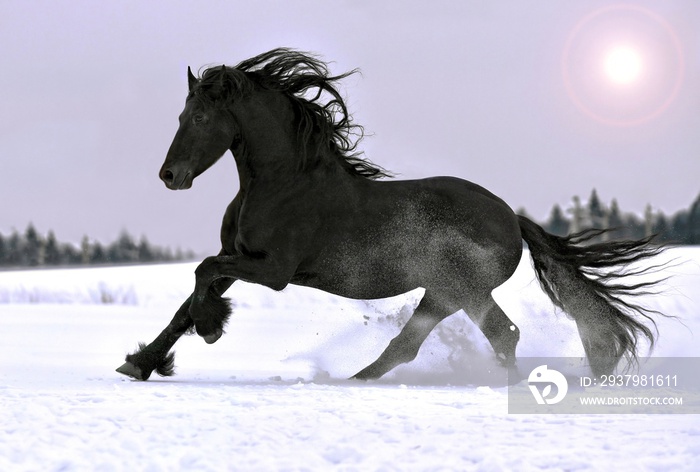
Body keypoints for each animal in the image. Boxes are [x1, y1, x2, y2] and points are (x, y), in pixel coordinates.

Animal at [117, 48, 664, 382]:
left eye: (200, 116)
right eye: (181, 115)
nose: (170, 175)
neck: (280, 183)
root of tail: (513, 219)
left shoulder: (272, 270)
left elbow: (201, 273)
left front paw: (211, 327)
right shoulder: (239, 256)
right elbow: (188, 299)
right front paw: (140, 364)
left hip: (460, 287)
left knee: (500, 334)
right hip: (442, 293)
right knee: (413, 344)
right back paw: (354, 382)